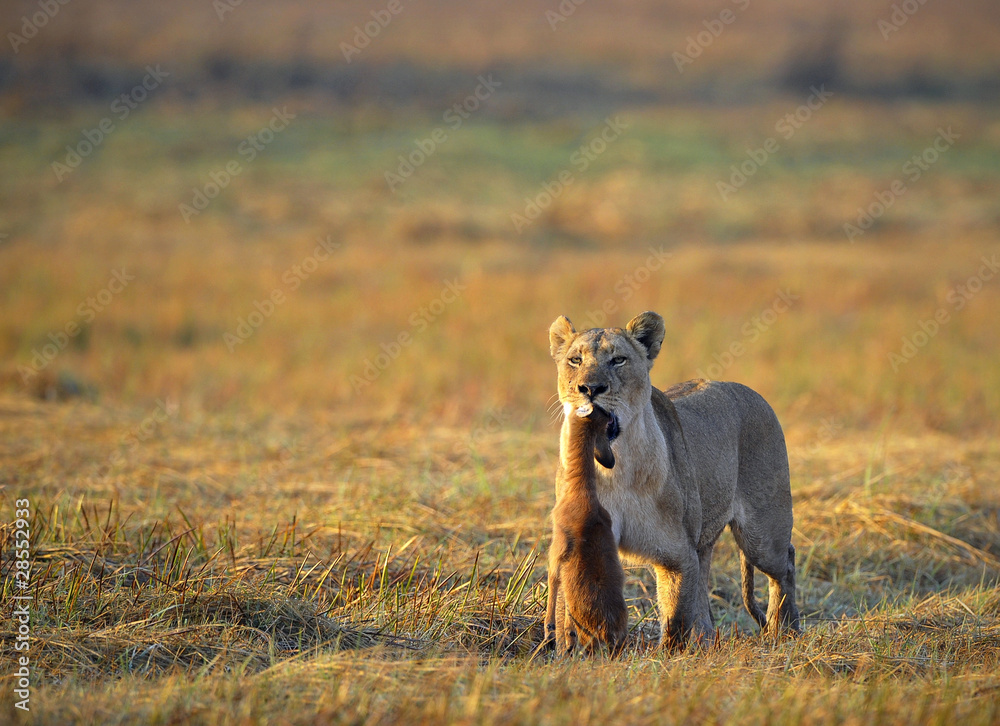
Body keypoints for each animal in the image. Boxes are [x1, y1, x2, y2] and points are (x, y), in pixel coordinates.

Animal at [545, 403, 628, 656]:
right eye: (608, 420)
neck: (582, 495)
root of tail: (608, 630)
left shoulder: (556, 551)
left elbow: (552, 581)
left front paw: (548, 633)